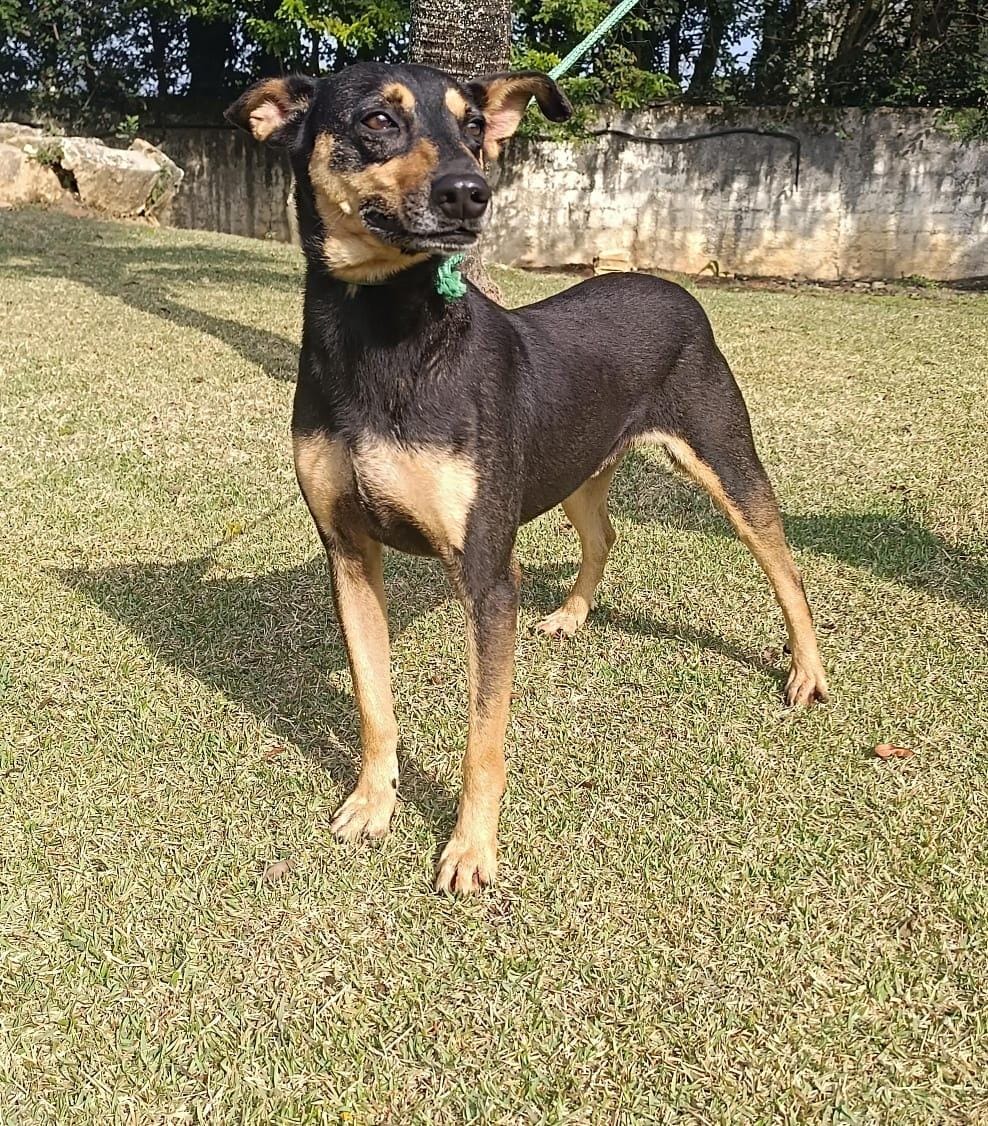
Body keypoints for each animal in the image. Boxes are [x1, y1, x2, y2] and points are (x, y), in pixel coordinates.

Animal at [226, 62, 830, 895]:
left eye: (474, 126)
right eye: (378, 119)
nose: (469, 192)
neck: (384, 338)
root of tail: (670, 285)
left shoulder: (487, 575)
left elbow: (483, 738)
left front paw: (471, 850)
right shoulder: (347, 552)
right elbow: (374, 704)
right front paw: (372, 803)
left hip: (726, 461)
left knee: (784, 566)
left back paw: (807, 670)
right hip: (576, 467)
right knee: (604, 534)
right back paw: (574, 615)